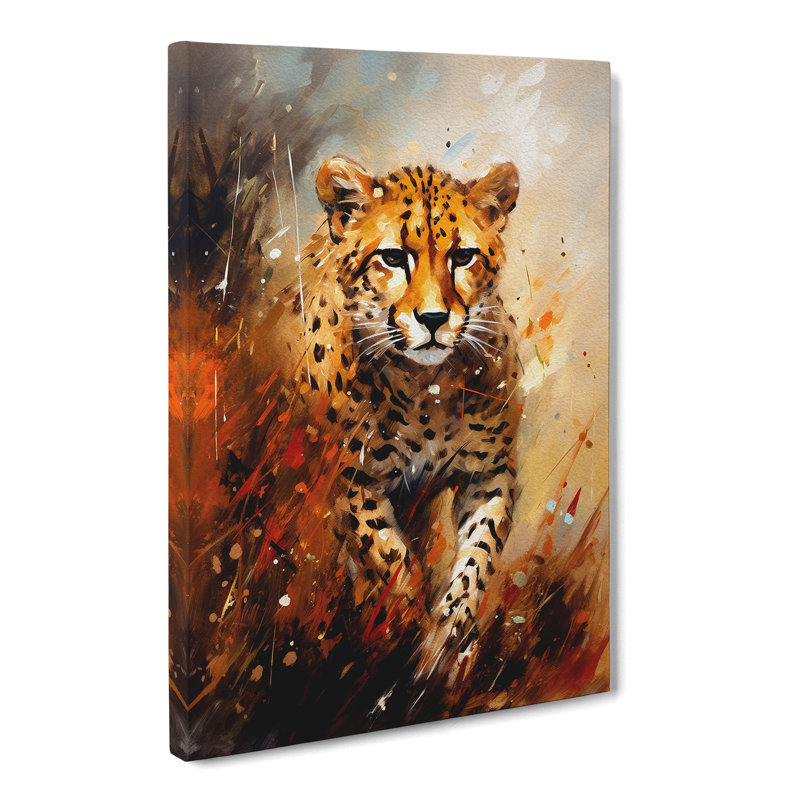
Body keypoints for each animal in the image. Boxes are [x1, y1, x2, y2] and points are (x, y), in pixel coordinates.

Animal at [279, 155, 522, 680]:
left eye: (463, 256)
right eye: (392, 258)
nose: (433, 319)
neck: (426, 389)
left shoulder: (491, 474)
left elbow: (477, 561)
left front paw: (447, 643)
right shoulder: (348, 480)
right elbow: (389, 557)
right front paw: (405, 627)